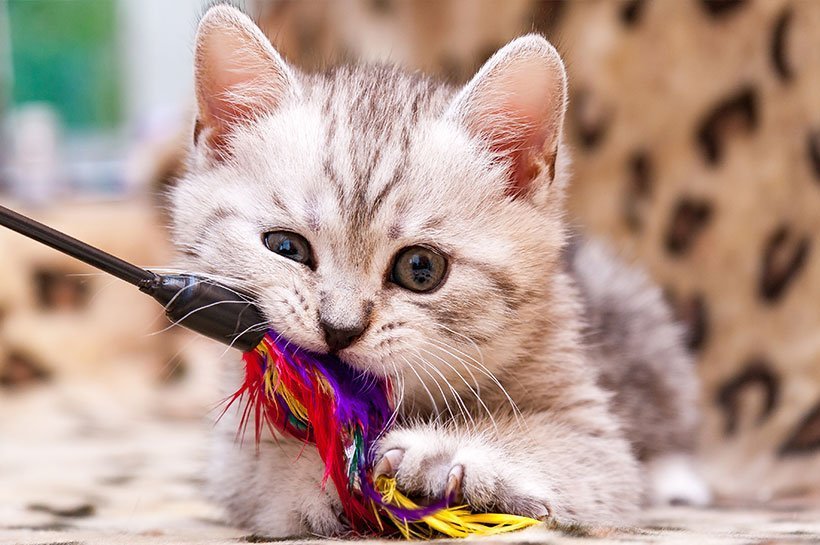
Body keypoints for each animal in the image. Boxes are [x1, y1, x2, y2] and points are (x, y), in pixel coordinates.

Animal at [171, 5, 712, 536]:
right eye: (286, 247)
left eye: (421, 268)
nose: (339, 328)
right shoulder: (230, 456)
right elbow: (260, 471)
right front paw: (324, 474)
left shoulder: (593, 432)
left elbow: (579, 452)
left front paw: (442, 454)